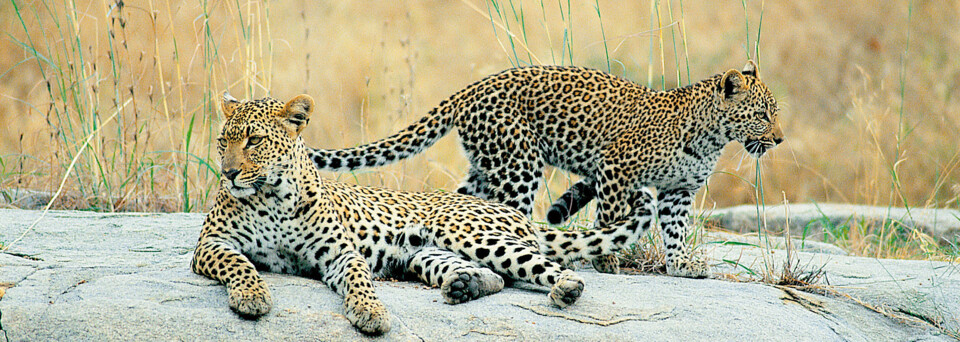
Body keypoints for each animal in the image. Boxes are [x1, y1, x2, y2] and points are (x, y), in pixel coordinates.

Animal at [193, 92, 660, 336]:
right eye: (222, 141)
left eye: (253, 141)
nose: (228, 172)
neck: (272, 195)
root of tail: (518, 215)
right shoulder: (211, 245)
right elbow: (240, 265)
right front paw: (252, 296)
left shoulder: (341, 254)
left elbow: (360, 281)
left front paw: (371, 313)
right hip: (425, 253)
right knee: (495, 276)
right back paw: (463, 286)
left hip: (469, 232)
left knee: (547, 267)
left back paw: (565, 289)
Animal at [312, 61, 784, 278]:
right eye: (762, 115)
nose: (779, 139)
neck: (712, 136)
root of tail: (471, 88)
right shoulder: (615, 170)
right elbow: (610, 216)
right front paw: (608, 261)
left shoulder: (678, 191)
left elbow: (676, 230)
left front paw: (681, 264)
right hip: (519, 166)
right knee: (519, 221)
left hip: (488, 167)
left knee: (464, 203)